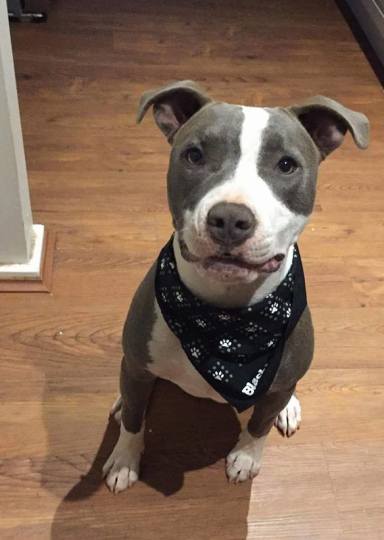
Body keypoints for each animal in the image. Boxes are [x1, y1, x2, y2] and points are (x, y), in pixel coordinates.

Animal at [102, 81, 368, 494]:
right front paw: (124, 461)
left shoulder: (274, 384)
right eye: (194, 155)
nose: (229, 218)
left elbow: (259, 425)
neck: (226, 320)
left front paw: (245, 458)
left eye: (286, 165)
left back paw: (288, 409)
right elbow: (133, 420)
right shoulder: (137, 366)